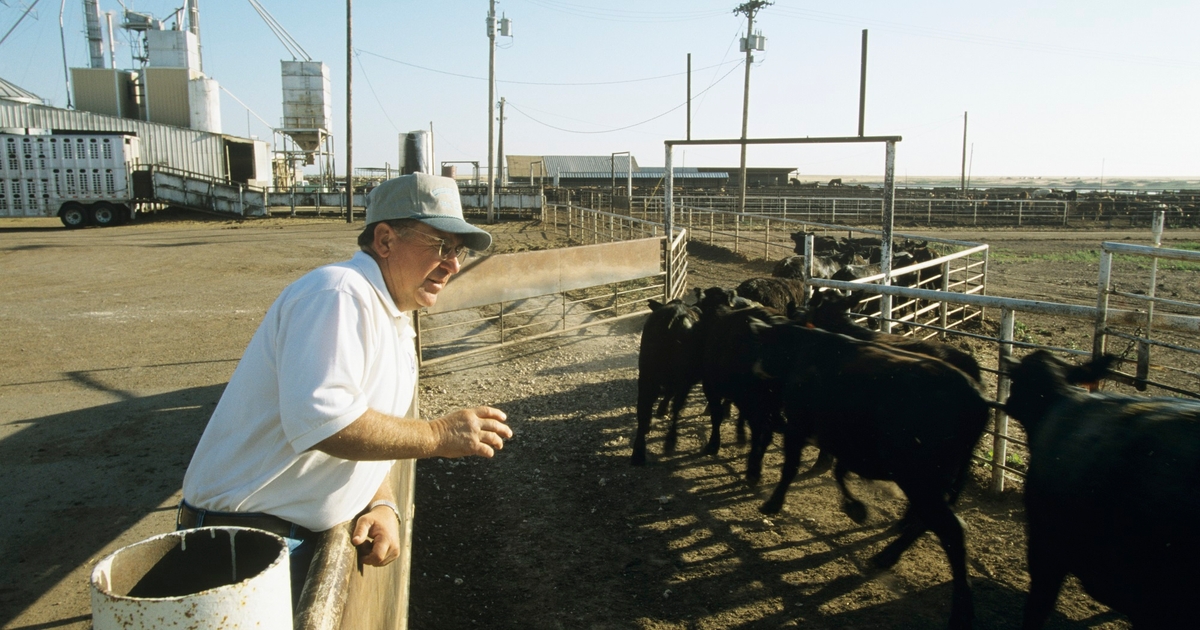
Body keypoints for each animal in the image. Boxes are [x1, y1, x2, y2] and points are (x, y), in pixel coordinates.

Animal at [628, 297, 700, 463]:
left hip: (646, 375)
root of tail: (677, 314)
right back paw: (669, 442)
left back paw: (639, 452)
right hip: (681, 379)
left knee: (643, 408)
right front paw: (662, 410)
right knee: (676, 406)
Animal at [748, 321, 993, 624]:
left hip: (920, 481)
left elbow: (791, 467)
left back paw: (961, 608)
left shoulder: (798, 425)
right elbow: (839, 471)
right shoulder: (845, 443)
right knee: (928, 521)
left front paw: (773, 503)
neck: (803, 350)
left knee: (950, 529)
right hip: (941, 481)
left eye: (764, 346)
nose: (755, 369)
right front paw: (855, 507)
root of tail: (978, 399)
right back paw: (887, 556)